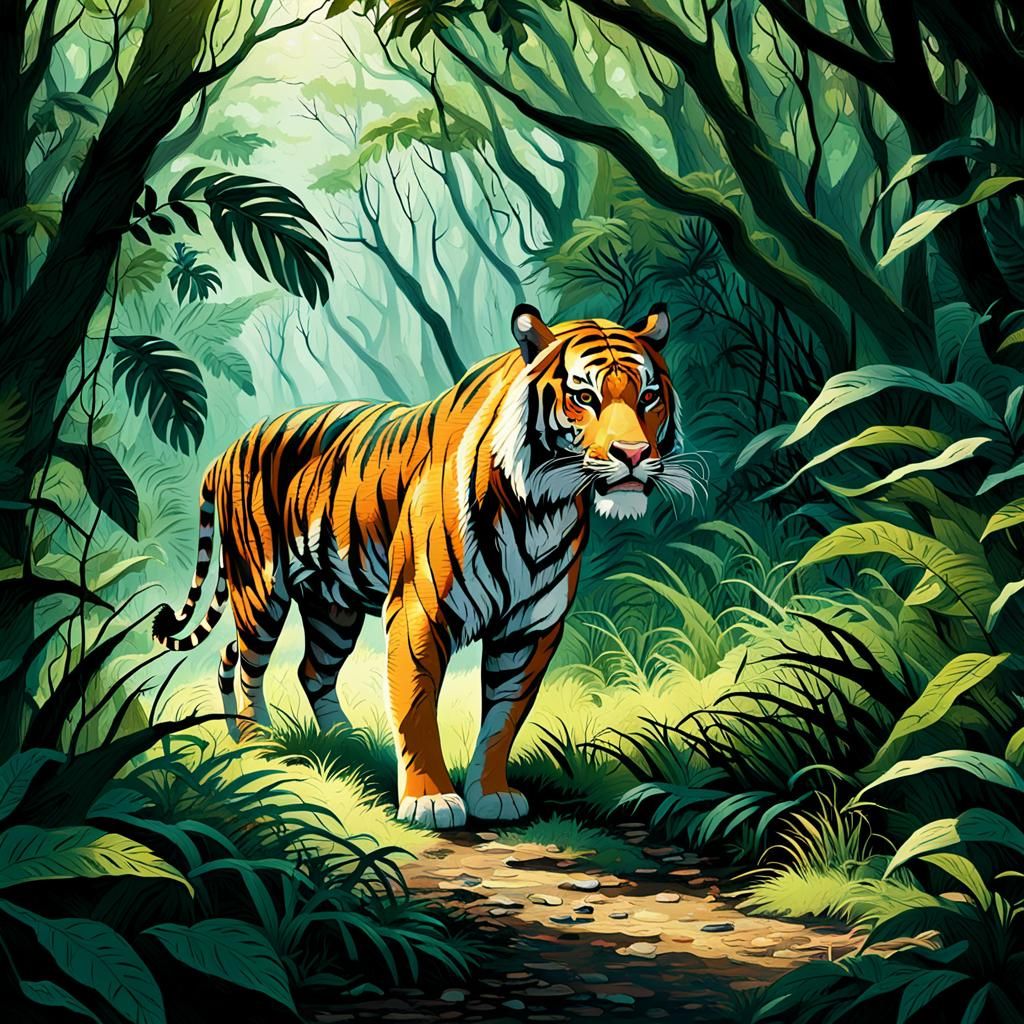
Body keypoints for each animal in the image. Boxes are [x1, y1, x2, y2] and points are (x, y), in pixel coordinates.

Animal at [153, 303, 695, 828]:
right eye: (584, 396)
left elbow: (503, 718)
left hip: (333, 608)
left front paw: (491, 794)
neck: (542, 507)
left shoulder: (530, 630)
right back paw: (257, 742)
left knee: (307, 669)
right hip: (261, 590)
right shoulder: (419, 613)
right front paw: (430, 801)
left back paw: (341, 740)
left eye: (649, 396)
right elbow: (415, 706)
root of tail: (225, 450)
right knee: (244, 661)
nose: (633, 454)